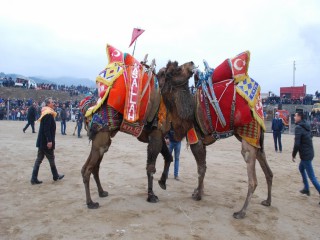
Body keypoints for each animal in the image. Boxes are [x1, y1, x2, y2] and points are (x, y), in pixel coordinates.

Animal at [80, 44, 195, 209]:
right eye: (177, 70)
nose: (192, 63)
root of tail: (87, 108)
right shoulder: (156, 135)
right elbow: (151, 167)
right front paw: (151, 196)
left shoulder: (159, 135)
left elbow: (169, 157)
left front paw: (162, 183)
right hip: (101, 137)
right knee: (88, 169)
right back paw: (90, 202)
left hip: (103, 137)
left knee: (92, 167)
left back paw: (102, 192)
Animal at [158, 51, 272, 218]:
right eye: (176, 70)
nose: (191, 63)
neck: (187, 113)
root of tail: (258, 103)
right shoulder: (202, 142)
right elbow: (203, 166)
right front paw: (198, 191)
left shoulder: (196, 140)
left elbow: (201, 169)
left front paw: (198, 195)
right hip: (256, 138)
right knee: (268, 170)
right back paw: (268, 201)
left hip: (248, 133)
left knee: (252, 177)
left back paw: (241, 212)